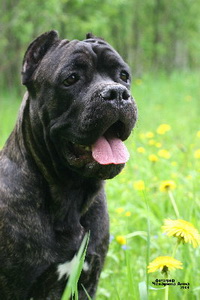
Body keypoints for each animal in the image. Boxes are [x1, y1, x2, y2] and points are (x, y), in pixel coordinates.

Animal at [0, 31, 137, 298]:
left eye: (123, 76)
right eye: (71, 79)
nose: (116, 93)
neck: (69, 196)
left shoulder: (87, 281)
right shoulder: (14, 286)